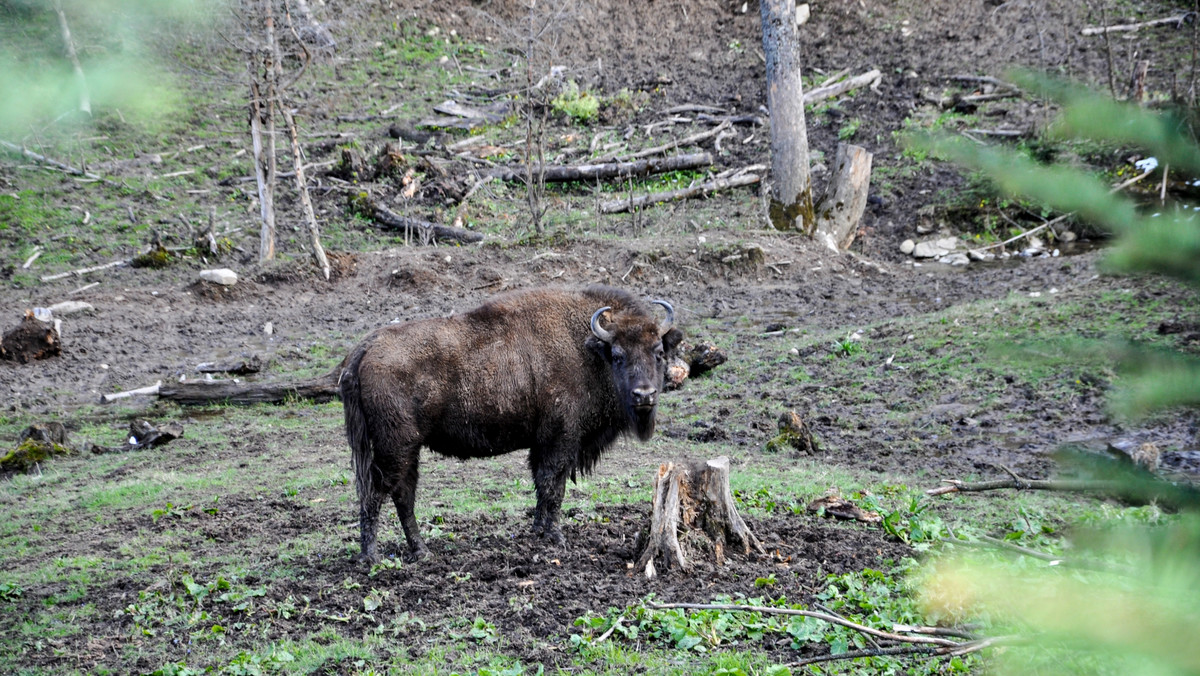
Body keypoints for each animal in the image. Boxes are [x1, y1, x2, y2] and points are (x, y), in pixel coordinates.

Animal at [343, 284, 681, 561]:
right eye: (618, 355)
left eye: (658, 352)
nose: (644, 395)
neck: (586, 348)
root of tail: (364, 348)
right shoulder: (560, 439)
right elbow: (553, 486)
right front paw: (555, 537)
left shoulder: (542, 444)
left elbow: (541, 486)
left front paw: (537, 531)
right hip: (395, 448)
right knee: (378, 492)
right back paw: (372, 557)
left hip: (405, 450)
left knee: (402, 494)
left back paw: (420, 551)